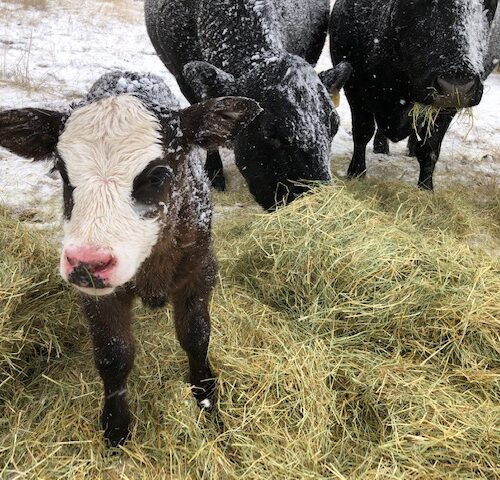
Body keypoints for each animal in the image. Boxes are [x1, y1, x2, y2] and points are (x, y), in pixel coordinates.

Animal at [0, 72, 262, 446]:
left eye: (158, 175)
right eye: (61, 171)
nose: (87, 262)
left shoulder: (201, 268)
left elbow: (196, 335)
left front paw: (206, 398)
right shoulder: (97, 290)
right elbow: (113, 354)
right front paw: (116, 428)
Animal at [330, 0, 498, 191]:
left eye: (489, 2)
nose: (457, 86)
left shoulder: (445, 110)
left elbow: (430, 148)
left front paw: (425, 188)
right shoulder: (355, 90)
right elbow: (362, 132)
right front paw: (356, 173)